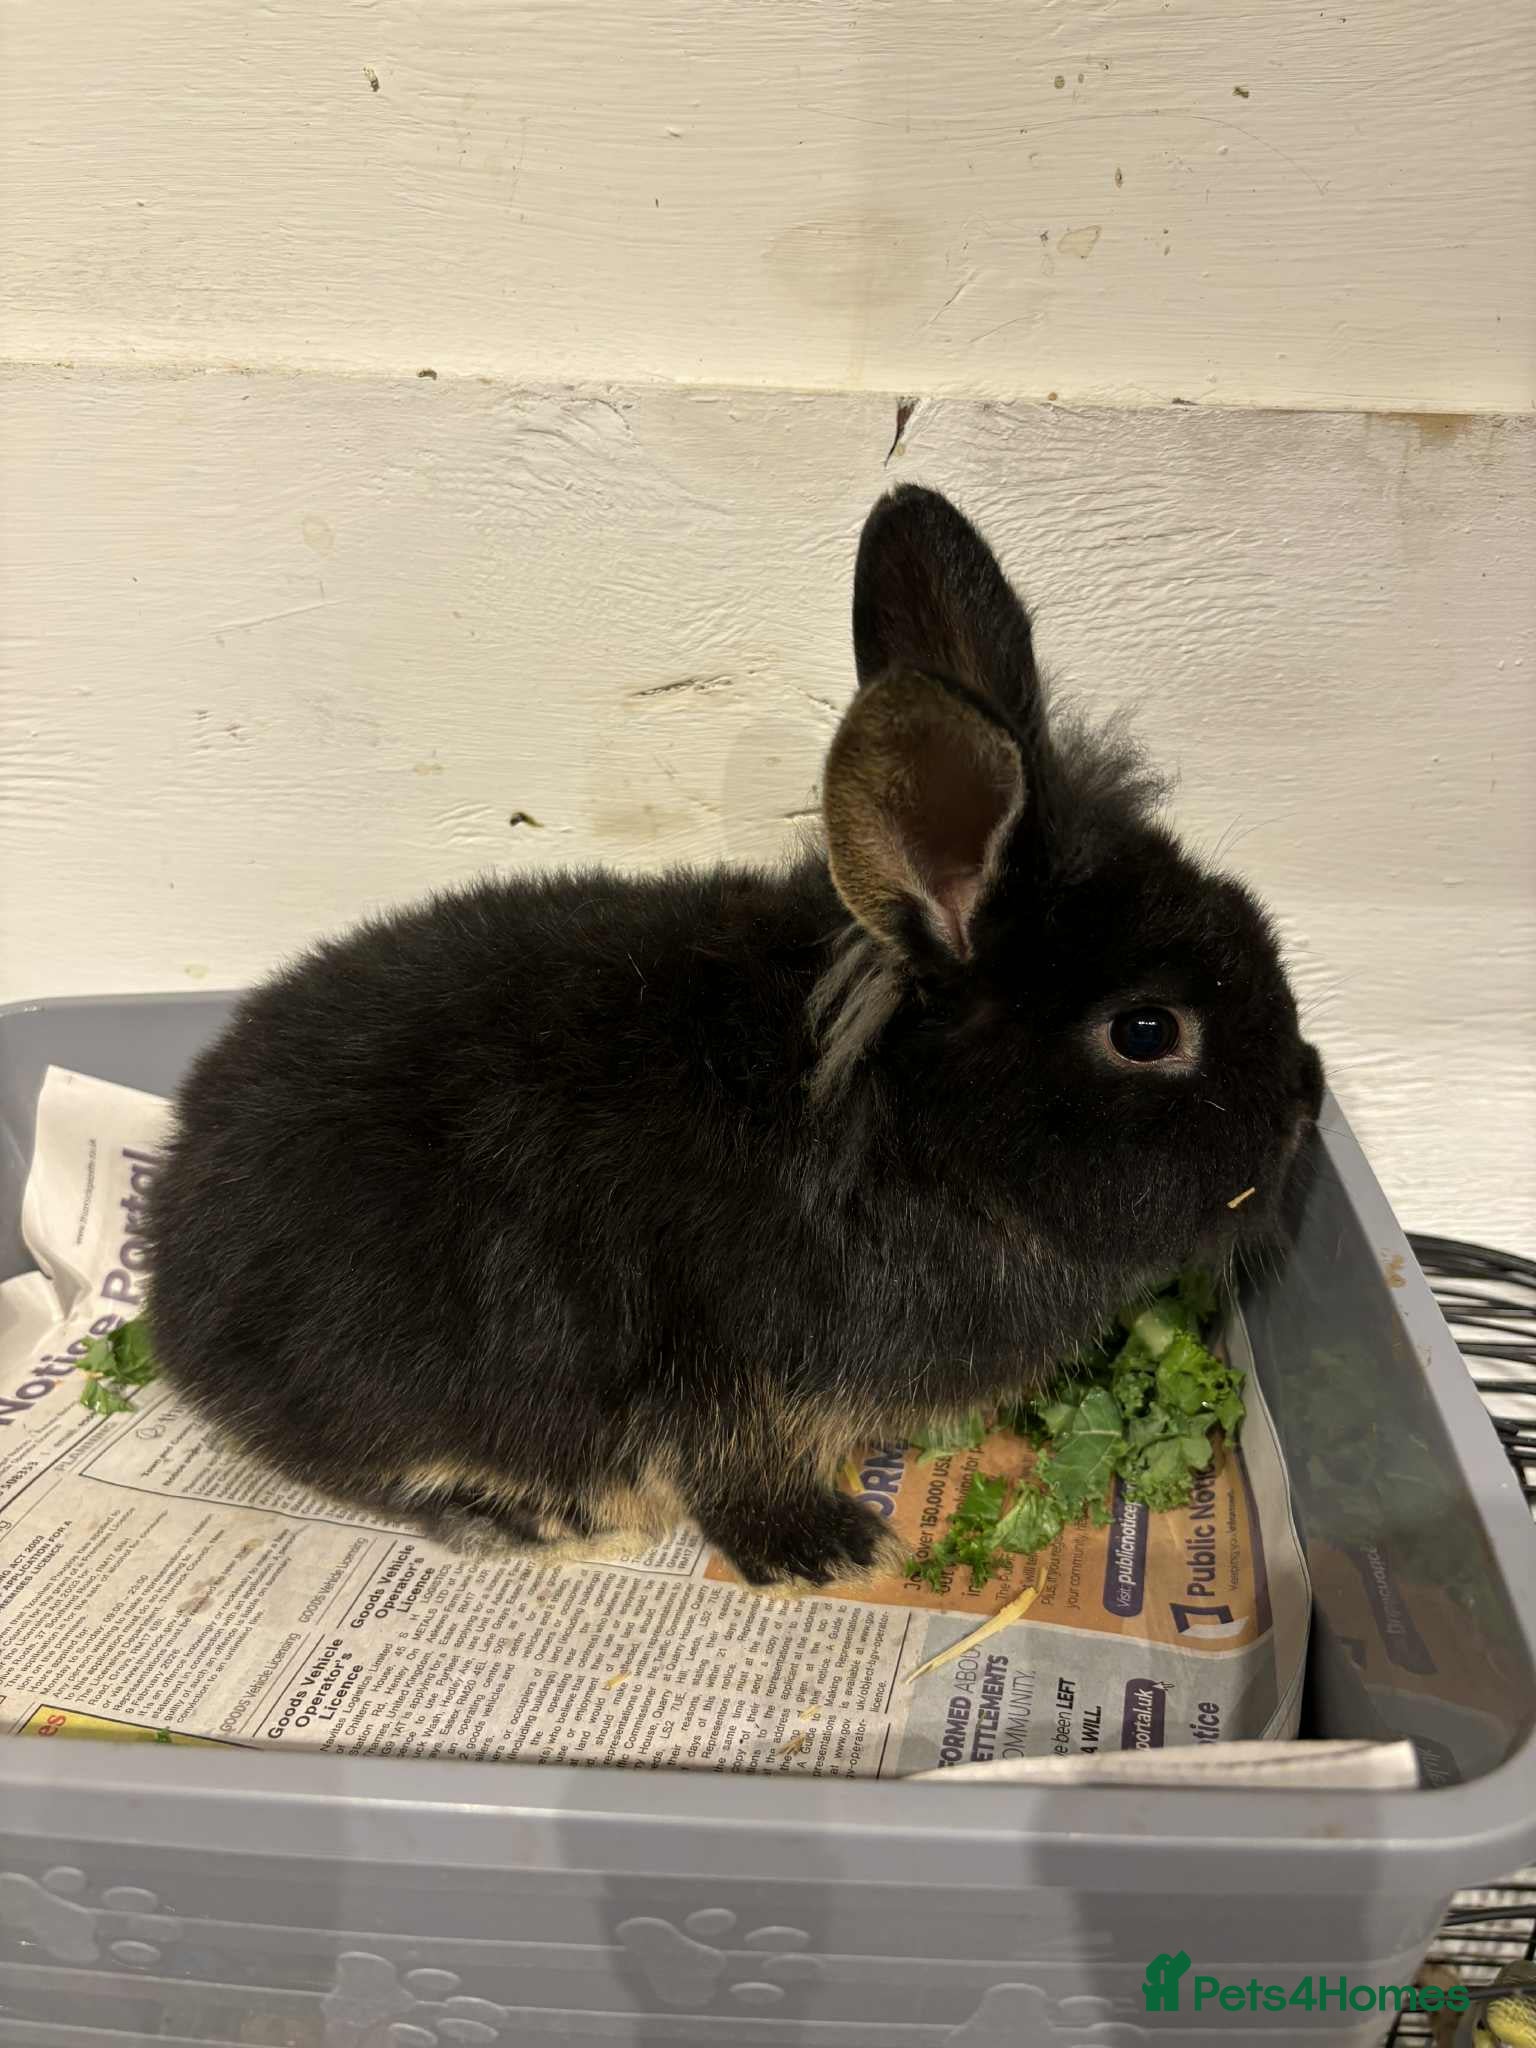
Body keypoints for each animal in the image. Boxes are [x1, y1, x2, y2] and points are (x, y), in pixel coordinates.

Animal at [143, 484, 1324, 1594]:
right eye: (1145, 1030)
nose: (1308, 1103)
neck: (907, 1137)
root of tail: (169, 1247)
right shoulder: (724, 1368)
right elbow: (734, 1468)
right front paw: (830, 1550)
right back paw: (536, 1517)